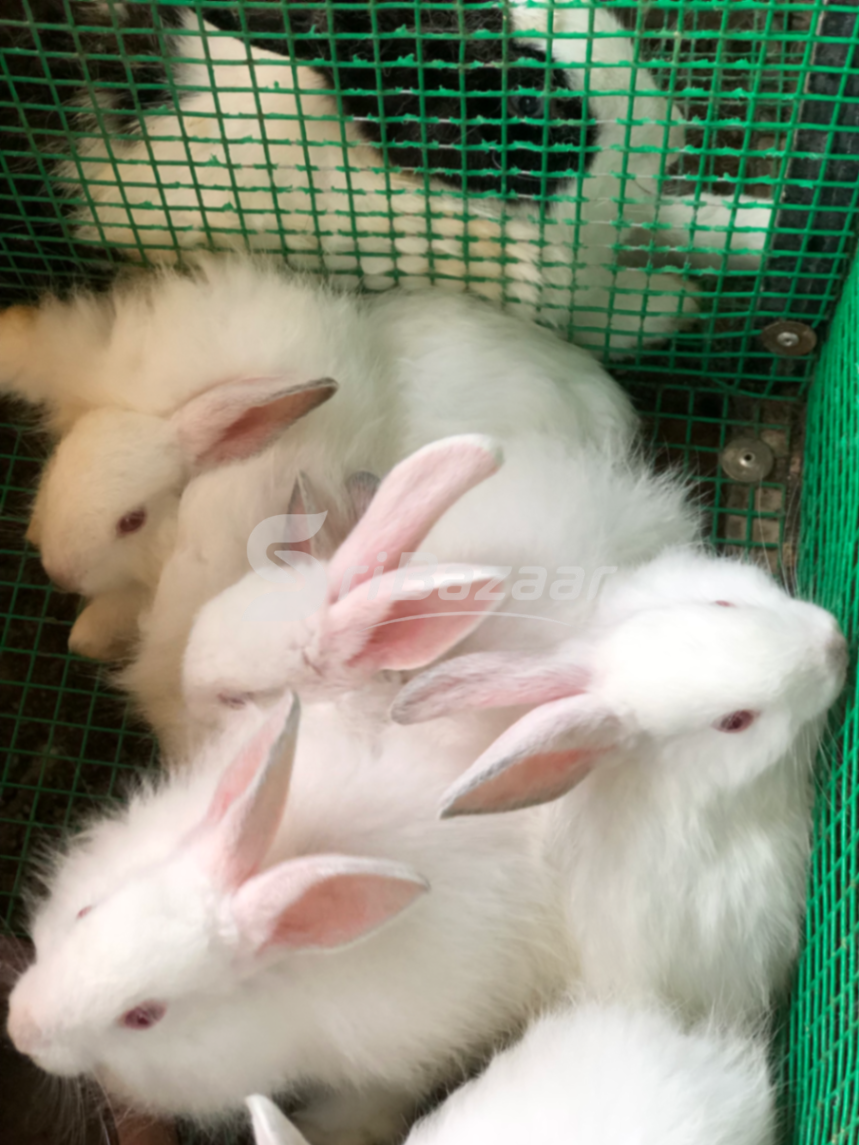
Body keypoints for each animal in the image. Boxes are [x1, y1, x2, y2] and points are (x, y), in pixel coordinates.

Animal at [1, 1, 770, 348]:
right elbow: (609, 314)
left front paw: (751, 230)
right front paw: (678, 300)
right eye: (526, 101)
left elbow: (671, 224)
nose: (674, 133)